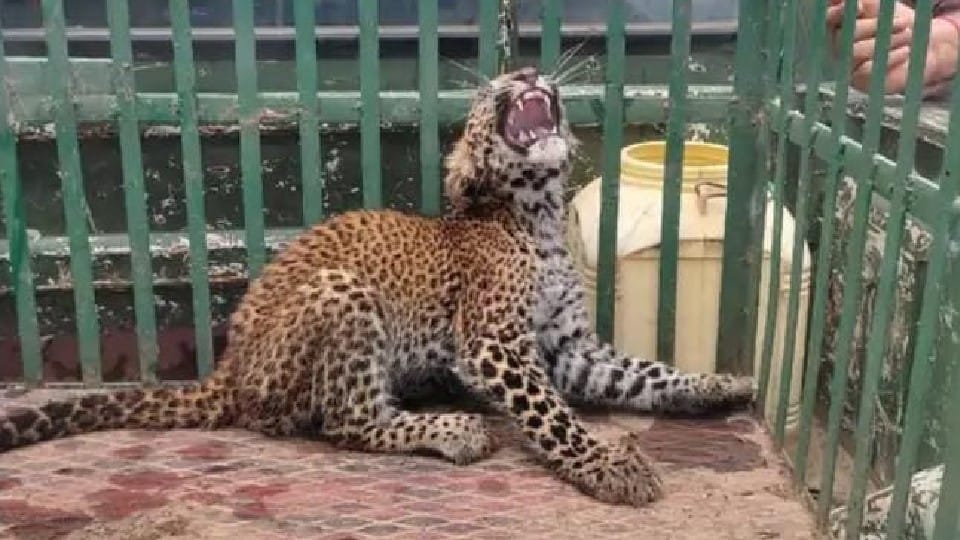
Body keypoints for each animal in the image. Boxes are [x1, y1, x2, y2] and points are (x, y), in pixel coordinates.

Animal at [0, 66, 754, 507]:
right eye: (487, 90)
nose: (524, 69)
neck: (537, 214)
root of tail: (231, 369)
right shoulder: (496, 344)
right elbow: (552, 416)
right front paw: (605, 466)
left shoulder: (570, 350)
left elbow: (642, 372)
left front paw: (717, 384)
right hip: (343, 295)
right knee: (347, 421)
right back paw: (452, 429)